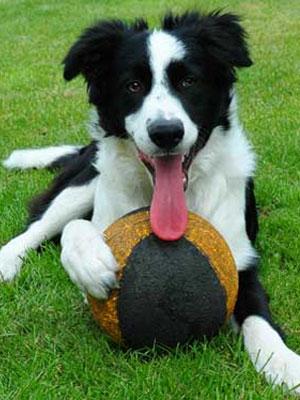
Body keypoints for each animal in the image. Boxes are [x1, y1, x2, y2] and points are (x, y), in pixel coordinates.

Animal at [0, 12, 300, 394]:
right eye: (132, 86)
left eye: (188, 81)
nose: (166, 133)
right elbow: (77, 230)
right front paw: (91, 263)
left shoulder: (240, 261)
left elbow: (258, 319)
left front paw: (285, 364)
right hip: (86, 177)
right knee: (37, 227)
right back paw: (7, 260)